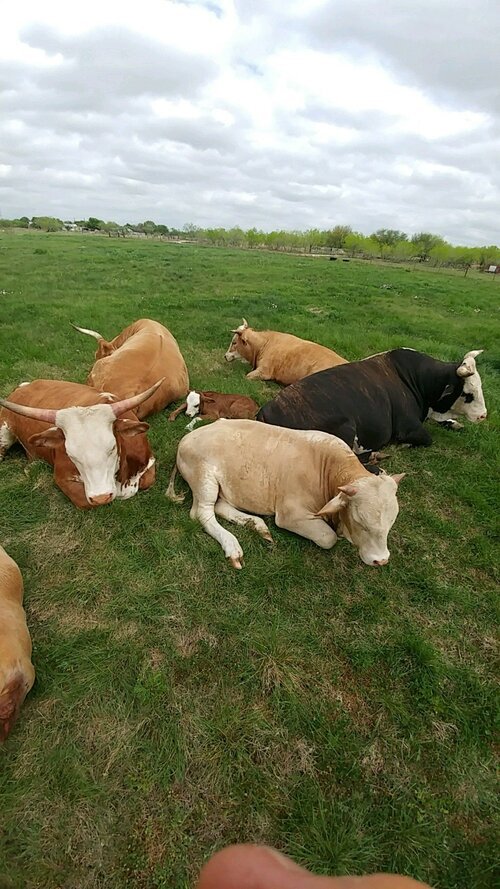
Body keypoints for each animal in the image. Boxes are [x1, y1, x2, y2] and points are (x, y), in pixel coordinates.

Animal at [0, 379, 163, 509]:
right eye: (71, 455)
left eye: (112, 448)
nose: (101, 497)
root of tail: (23, 386)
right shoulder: (62, 477)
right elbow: (84, 501)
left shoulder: (148, 461)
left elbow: (147, 481)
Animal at [166, 419, 404, 569]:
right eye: (359, 520)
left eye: (392, 522)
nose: (381, 560)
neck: (327, 469)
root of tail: (189, 436)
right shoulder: (291, 514)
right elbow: (328, 538)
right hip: (204, 479)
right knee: (202, 513)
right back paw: (232, 546)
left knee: (220, 506)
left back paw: (257, 525)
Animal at [257, 349, 487, 451]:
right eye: (468, 394)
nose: (483, 415)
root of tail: (265, 412)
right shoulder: (408, 428)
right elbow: (426, 438)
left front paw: (453, 423)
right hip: (345, 429)